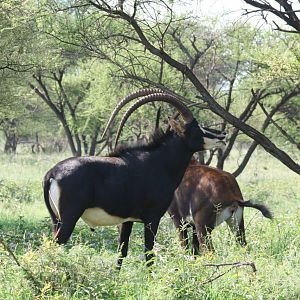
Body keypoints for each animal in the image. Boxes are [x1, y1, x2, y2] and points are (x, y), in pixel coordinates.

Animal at [41, 88, 225, 268]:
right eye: (197, 128)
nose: (222, 136)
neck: (160, 161)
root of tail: (51, 173)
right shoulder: (152, 218)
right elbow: (149, 254)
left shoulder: (126, 220)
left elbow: (121, 252)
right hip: (69, 219)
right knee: (54, 246)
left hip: (56, 221)